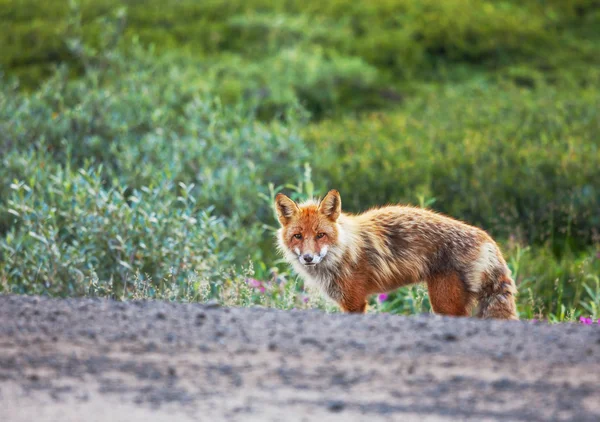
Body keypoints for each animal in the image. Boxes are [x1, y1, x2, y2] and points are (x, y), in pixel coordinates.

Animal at [274, 190, 516, 318]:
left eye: (320, 235)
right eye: (298, 236)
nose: (308, 258)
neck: (341, 251)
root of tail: (488, 240)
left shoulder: (354, 302)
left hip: (444, 303)